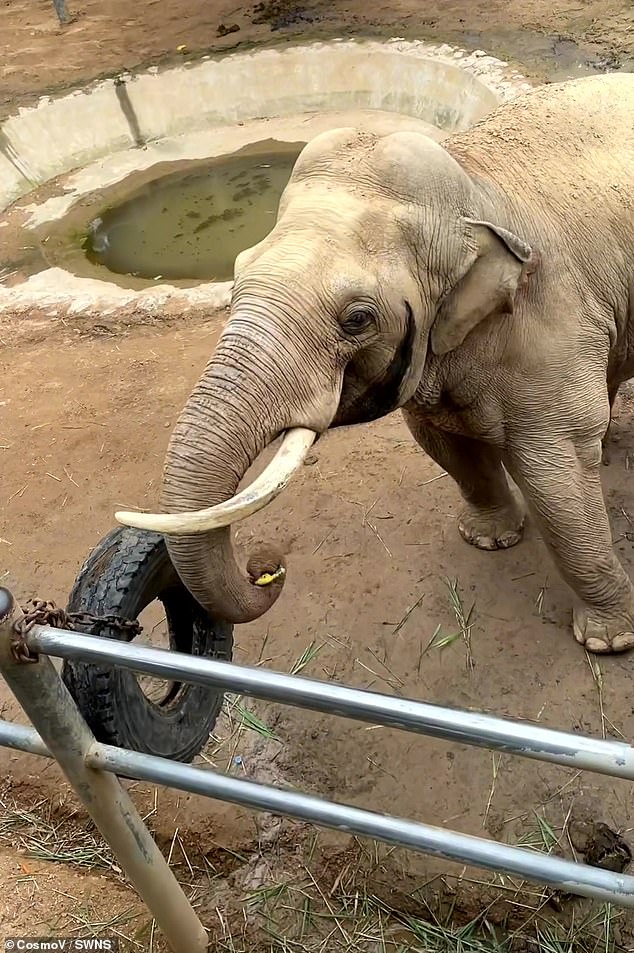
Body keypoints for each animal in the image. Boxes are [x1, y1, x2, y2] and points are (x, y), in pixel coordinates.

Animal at [116, 72, 632, 656]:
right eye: (236, 276)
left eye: (357, 319)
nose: (266, 566)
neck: (473, 178)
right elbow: (446, 446)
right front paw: (488, 539)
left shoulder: (549, 317)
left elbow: (558, 479)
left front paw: (608, 642)